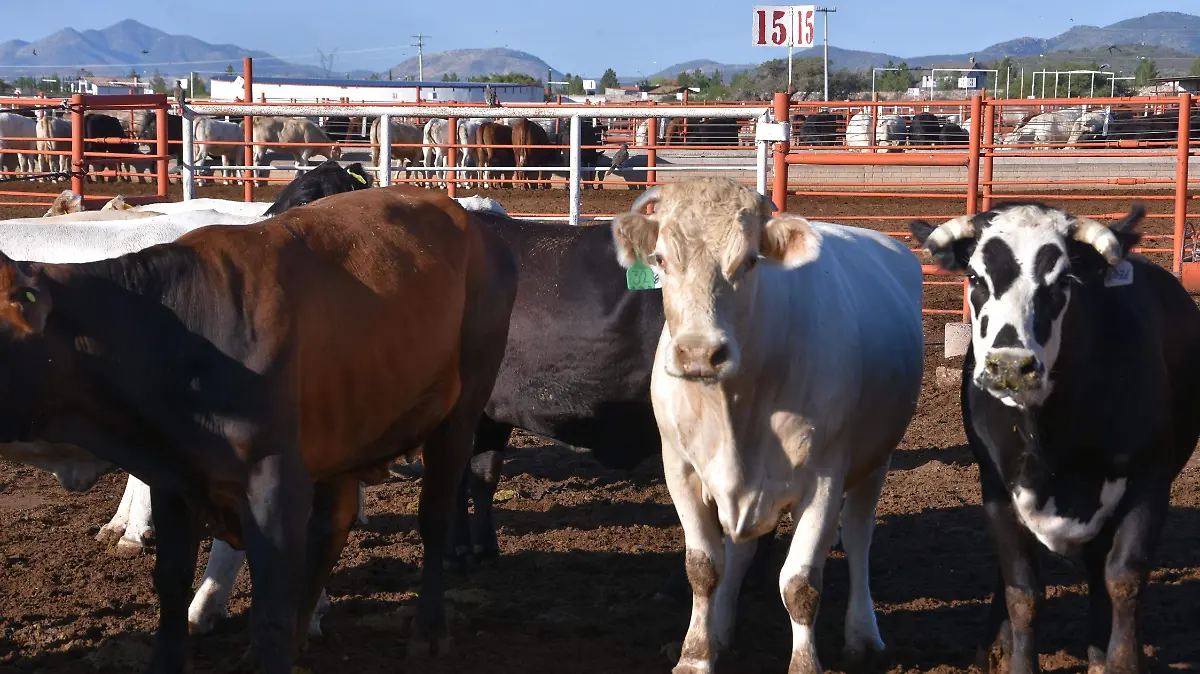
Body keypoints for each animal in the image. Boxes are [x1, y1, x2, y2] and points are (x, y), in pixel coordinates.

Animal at [0, 185, 518, 671]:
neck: (176, 329)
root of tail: (465, 216)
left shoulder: (274, 482)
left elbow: (270, 608)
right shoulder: (174, 478)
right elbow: (171, 583)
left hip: (461, 409)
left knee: (433, 516)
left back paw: (428, 632)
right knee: (332, 526)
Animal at [610, 177, 923, 674]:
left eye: (750, 260)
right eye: (660, 259)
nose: (700, 353)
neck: (733, 408)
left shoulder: (824, 476)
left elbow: (800, 584)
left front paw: (805, 664)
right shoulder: (679, 467)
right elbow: (704, 567)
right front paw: (696, 654)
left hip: (876, 460)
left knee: (858, 539)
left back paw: (863, 636)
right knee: (741, 552)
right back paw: (721, 631)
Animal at [911, 202, 1200, 674]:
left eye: (1063, 280)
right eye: (975, 277)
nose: (1011, 366)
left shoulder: (1149, 480)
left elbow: (1124, 578)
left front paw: (1121, 659)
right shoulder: (997, 487)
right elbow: (1023, 592)